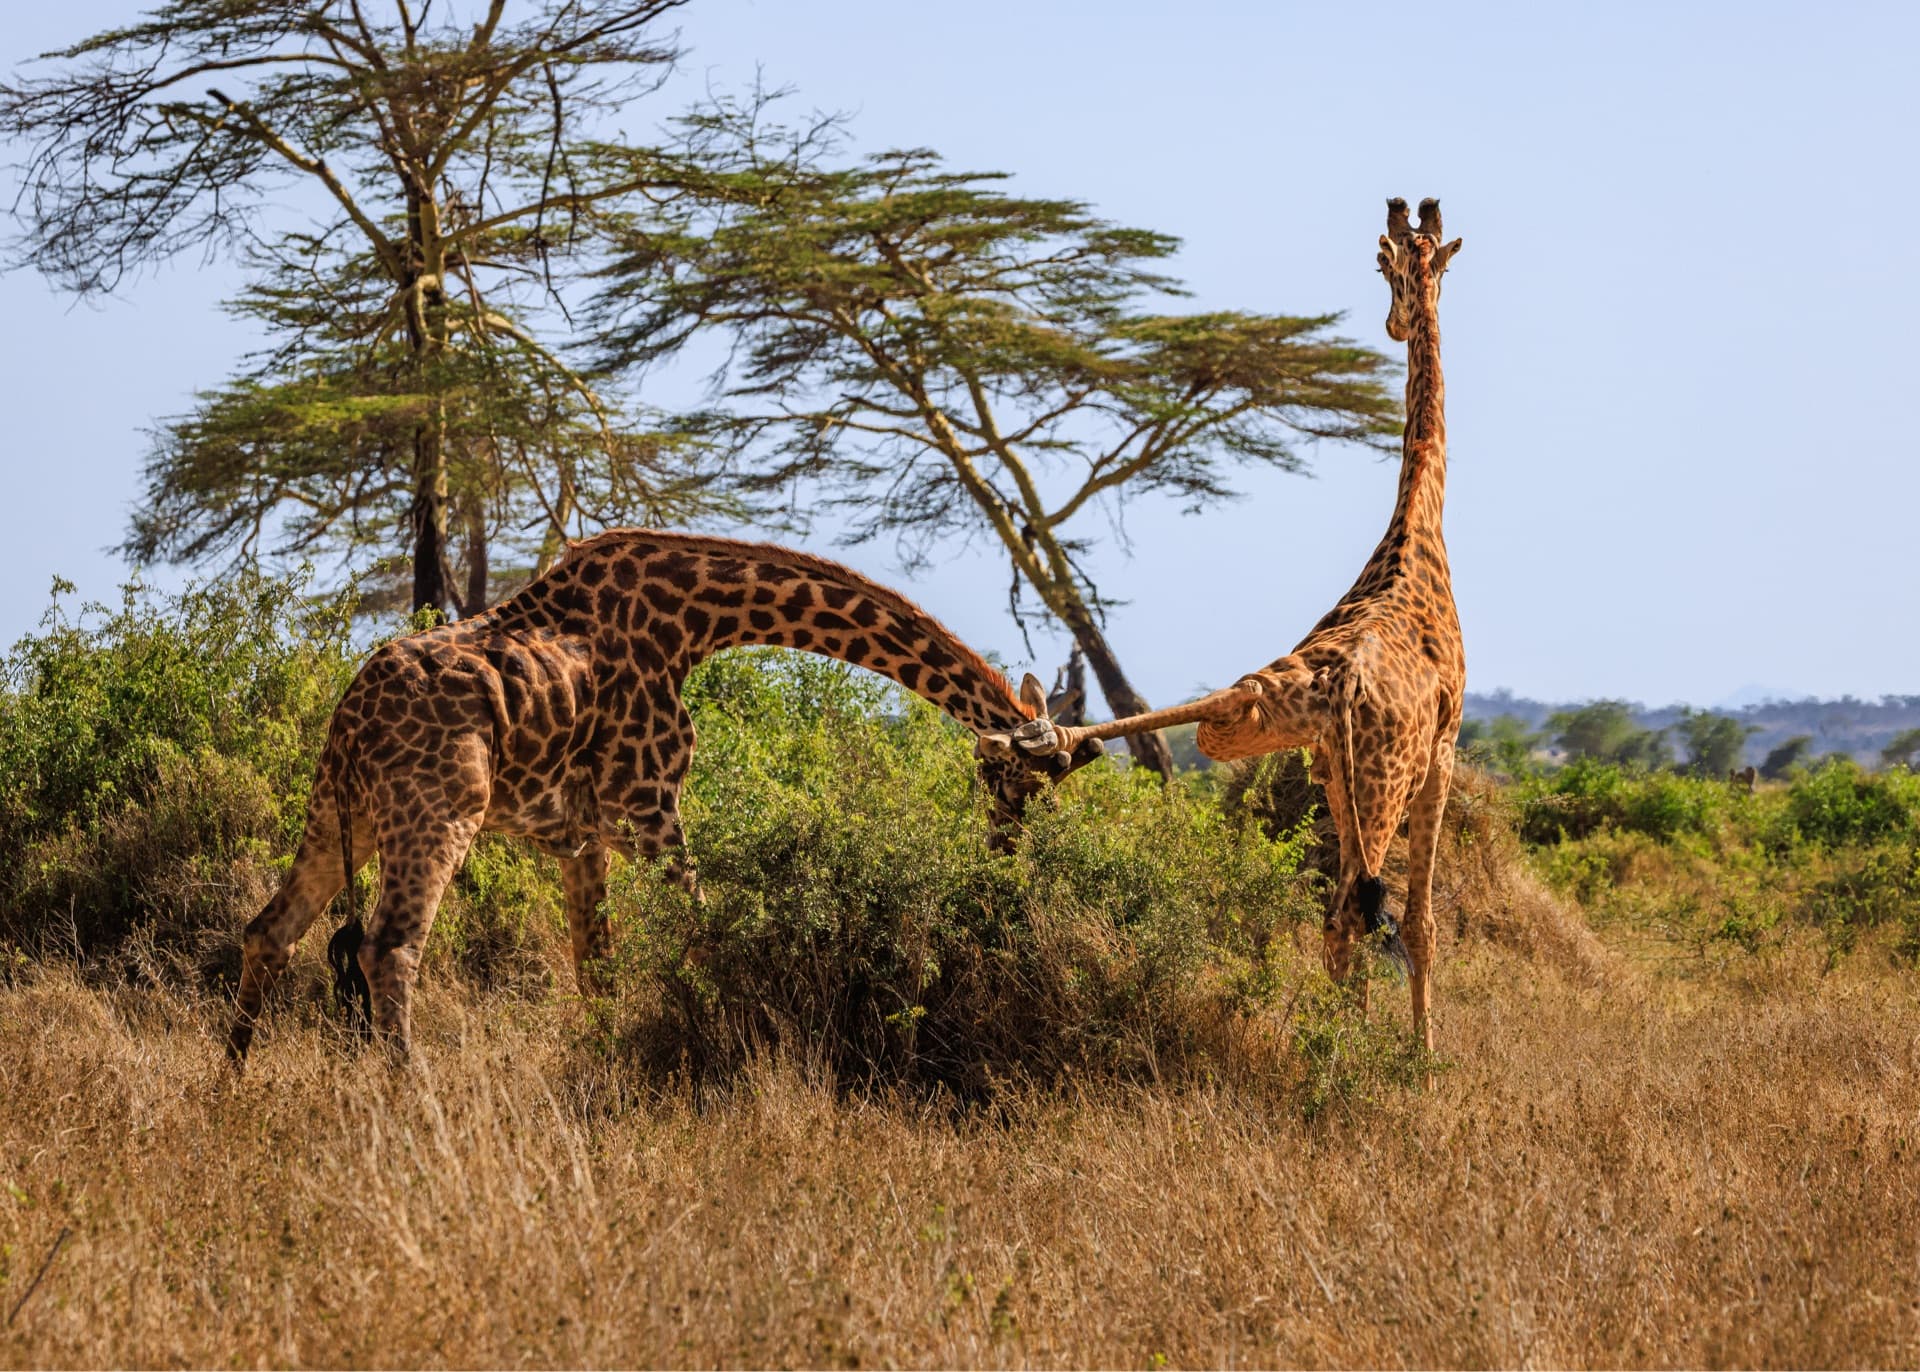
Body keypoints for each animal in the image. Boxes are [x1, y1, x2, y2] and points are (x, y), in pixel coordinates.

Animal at [227, 530, 1104, 1062]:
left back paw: (234, 1085)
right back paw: (416, 1105)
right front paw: (742, 1039)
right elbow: (707, 934)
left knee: (270, 929)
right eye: (1012, 782)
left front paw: (610, 1067)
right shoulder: (646, 811)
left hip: (340, 810)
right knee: (389, 948)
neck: (697, 622)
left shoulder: (580, 837)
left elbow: (599, 972)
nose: (1003, 852)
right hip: (436, 811)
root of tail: (351, 715)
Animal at [982, 198, 1466, 1053]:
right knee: (1364, 910)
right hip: (1382, 775)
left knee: (1336, 908)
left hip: (1260, 717)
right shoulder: (1442, 751)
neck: (1419, 528)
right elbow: (1420, 924)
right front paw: (1421, 1059)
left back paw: (1030, 748)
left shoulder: (1324, 763)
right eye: (1385, 269)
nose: (1392, 324)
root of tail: (1336, 681)